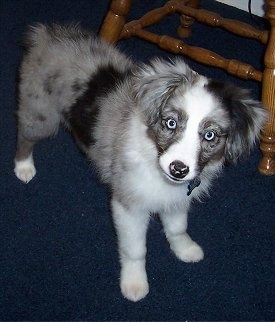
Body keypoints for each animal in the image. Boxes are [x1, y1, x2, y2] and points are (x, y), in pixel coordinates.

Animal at [14, 23, 268, 302]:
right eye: (171, 123)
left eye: (210, 135)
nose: (178, 169)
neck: (153, 156)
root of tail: (48, 34)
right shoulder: (129, 206)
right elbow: (135, 250)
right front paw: (134, 284)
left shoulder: (177, 198)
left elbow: (177, 228)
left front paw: (185, 249)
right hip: (41, 112)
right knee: (24, 135)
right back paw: (23, 167)